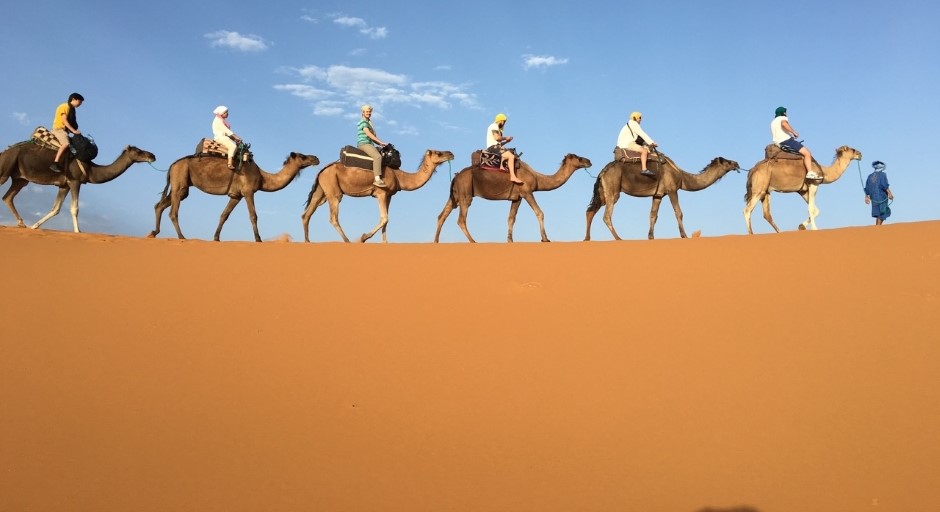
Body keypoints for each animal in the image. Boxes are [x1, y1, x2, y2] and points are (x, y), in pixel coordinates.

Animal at [0, 144, 157, 232]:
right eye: (138, 151)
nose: (152, 155)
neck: (91, 169)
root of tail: (3, 153)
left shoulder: (64, 185)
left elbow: (56, 208)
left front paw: (34, 226)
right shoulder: (75, 181)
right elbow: (74, 208)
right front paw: (78, 231)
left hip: (20, 179)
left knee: (8, 197)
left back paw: (21, 224)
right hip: (6, 169)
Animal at [148, 152, 320, 242]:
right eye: (303, 156)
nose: (316, 158)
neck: (262, 177)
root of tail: (172, 165)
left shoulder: (236, 195)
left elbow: (224, 215)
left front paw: (216, 237)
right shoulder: (248, 191)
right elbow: (253, 216)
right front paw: (258, 239)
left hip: (181, 184)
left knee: (159, 205)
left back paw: (154, 233)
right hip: (181, 180)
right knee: (173, 212)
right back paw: (181, 236)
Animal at [432, 152, 588, 244]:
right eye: (579, 158)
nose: (589, 161)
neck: (537, 178)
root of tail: (456, 176)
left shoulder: (516, 198)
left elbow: (511, 218)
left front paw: (510, 240)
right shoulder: (527, 192)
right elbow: (540, 212)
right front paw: (545, 238)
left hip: (455, 196)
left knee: (442, 215)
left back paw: (436, 241)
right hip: (465, 193)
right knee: (461, 219)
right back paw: (473, 241)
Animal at [584, 153, 740, 241]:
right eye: (727, 162)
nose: (736, 163)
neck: (682, 176)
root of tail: (602, 172)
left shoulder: (658, 195)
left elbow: (653, 215)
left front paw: (651, 237)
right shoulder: (672, 190)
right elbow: (678, 212)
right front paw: (684, 235)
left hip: (602, 192)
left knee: (590, 211)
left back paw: (587, 239)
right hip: (613, 190)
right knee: (606, 215)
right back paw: (618, 238)